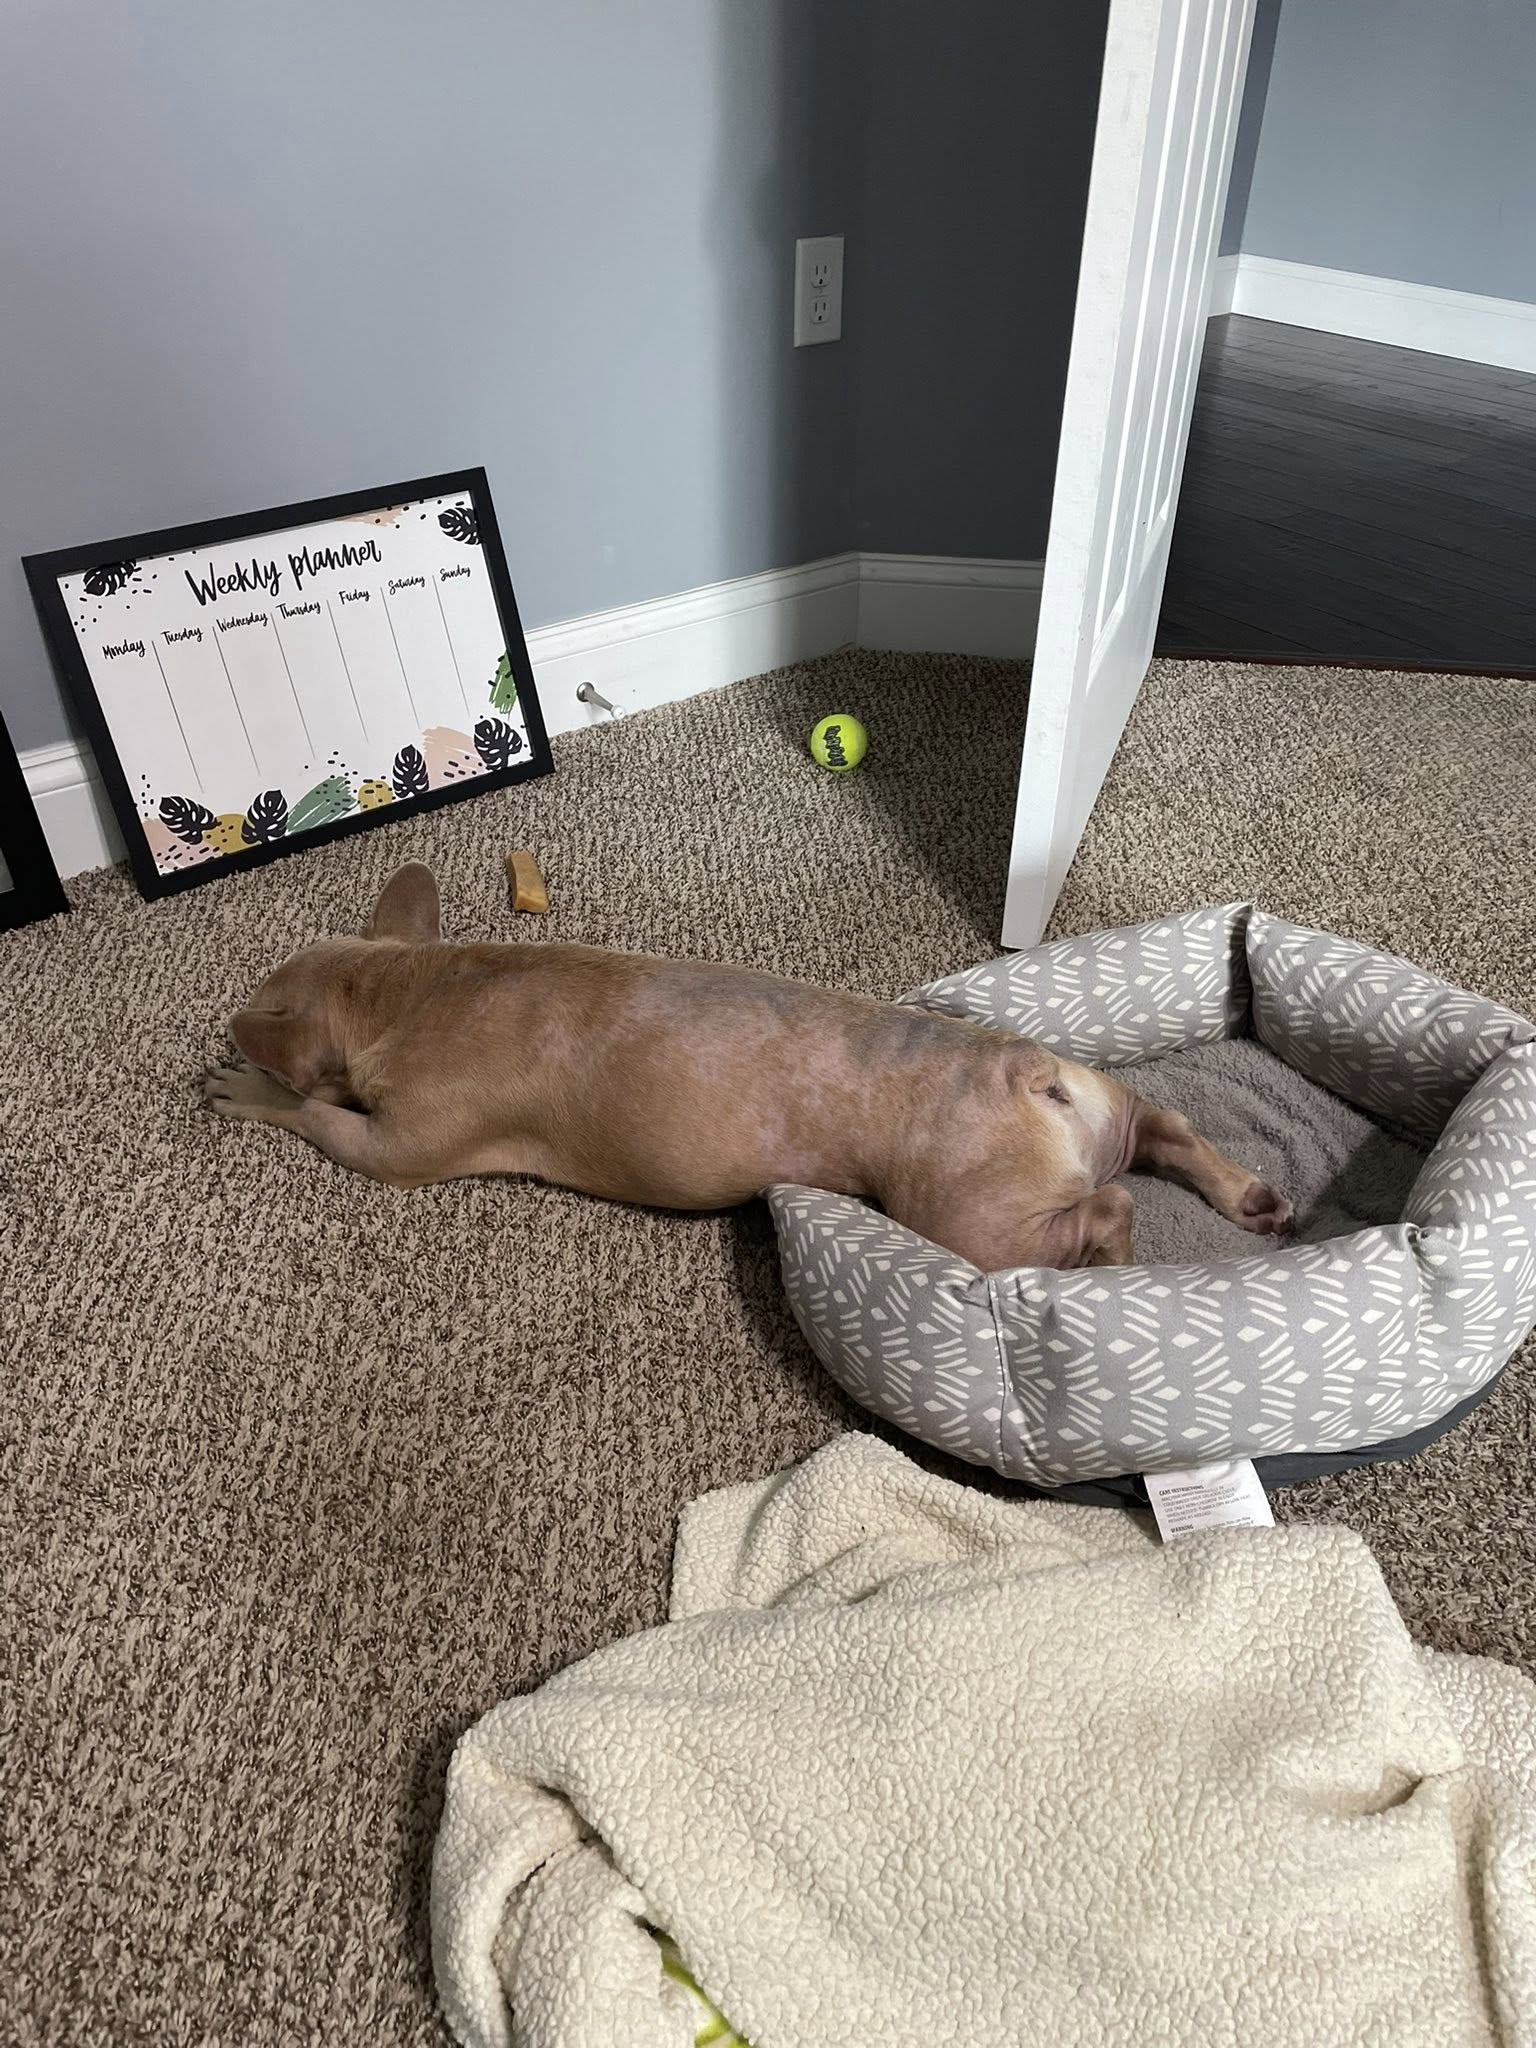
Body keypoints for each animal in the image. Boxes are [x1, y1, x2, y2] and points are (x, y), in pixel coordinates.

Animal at [204, 863, 1292, 1271]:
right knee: (1167, 1127)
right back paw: (1247, 1197)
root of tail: (1029, 1075)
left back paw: (1115, 1259)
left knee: (1106, 1206)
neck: (398, 989)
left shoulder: (397, 1148)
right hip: (1104, 1095)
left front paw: (247, 1086)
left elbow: (320, 1118)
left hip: (973, 1223)